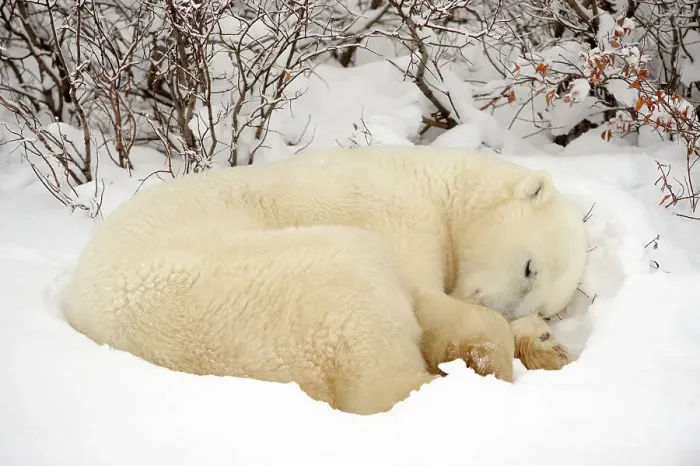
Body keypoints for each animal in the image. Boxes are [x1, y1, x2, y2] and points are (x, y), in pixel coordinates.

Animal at [61, 144, 587, 415]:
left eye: (547, 305)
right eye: (529, 267)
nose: (523, 316)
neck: (434, 183)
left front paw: (543, 341)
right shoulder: (390, 208)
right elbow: (423, 294)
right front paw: (492, 349)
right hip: (264, 289)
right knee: (375, 360)